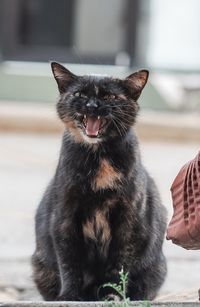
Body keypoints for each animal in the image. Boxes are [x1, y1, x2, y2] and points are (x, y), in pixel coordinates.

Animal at [32, 63, 167, 304]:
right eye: (80, 94)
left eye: (109, 96)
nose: (92, 105)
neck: (99, 157)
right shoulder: (64, 217)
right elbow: (69, 263)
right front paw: (69, 296)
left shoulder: (128, 222)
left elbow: (119, 266)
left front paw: (111, 296)